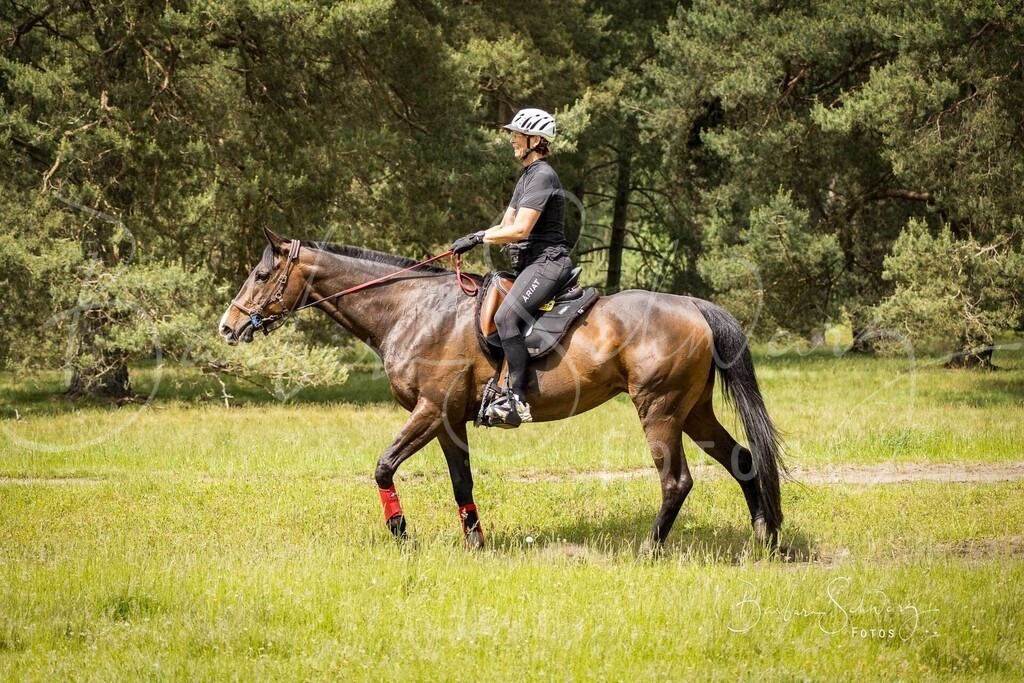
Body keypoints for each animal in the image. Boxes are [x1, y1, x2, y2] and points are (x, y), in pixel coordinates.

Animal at [219, 227, 786, 552]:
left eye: (262, 274)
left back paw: (649, 550)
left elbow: (383, 466)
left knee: (676, 481)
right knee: (741, 460)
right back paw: (766, 538)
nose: (227, 327)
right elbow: (461, 483)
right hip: (693, 410)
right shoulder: (447, 421)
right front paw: (476, 544)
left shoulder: (429, 410)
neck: (411, 309)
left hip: (660, 410)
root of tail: (692, 305)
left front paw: (401, 534)